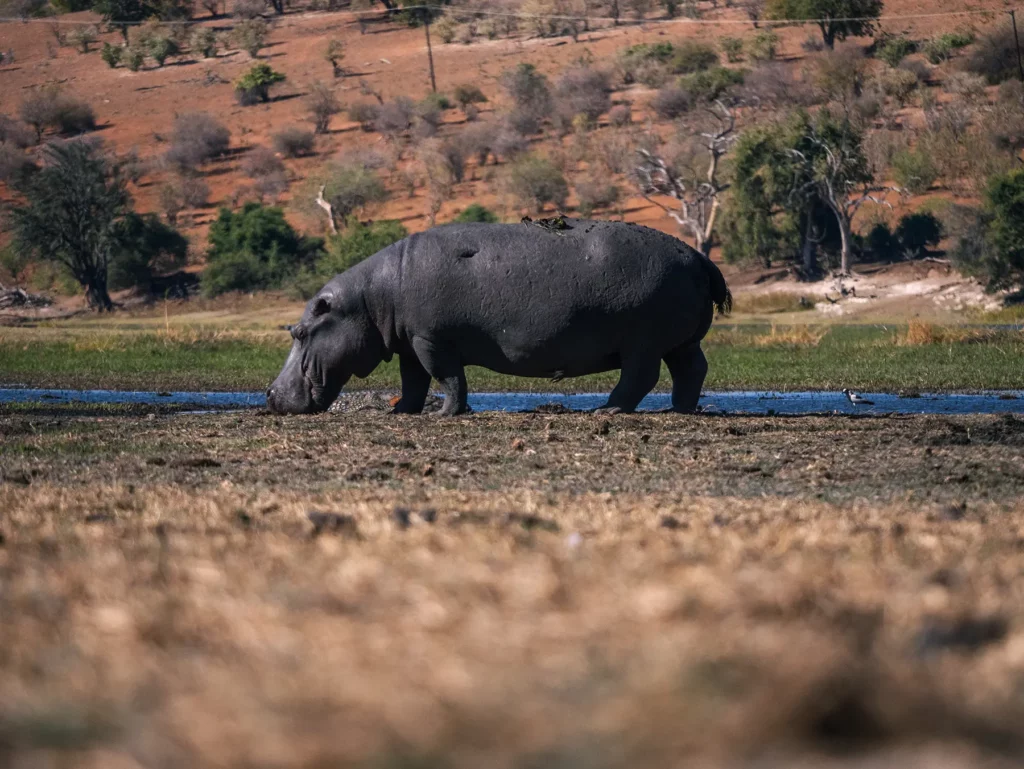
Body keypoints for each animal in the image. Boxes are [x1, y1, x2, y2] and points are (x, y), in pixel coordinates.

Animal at [266, 218, 731, 416]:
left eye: (299, 331)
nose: (270, 395)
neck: (368, 299)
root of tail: (698, 256)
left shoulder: (431, 341)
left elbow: (447, 378)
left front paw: (442, 415)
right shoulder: (410, 344)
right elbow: (413, 381)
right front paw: (400, 414)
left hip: (642, 342)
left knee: (640, 377)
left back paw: (607, 411)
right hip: (679, 341)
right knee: (692, 369)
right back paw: (680, 410)